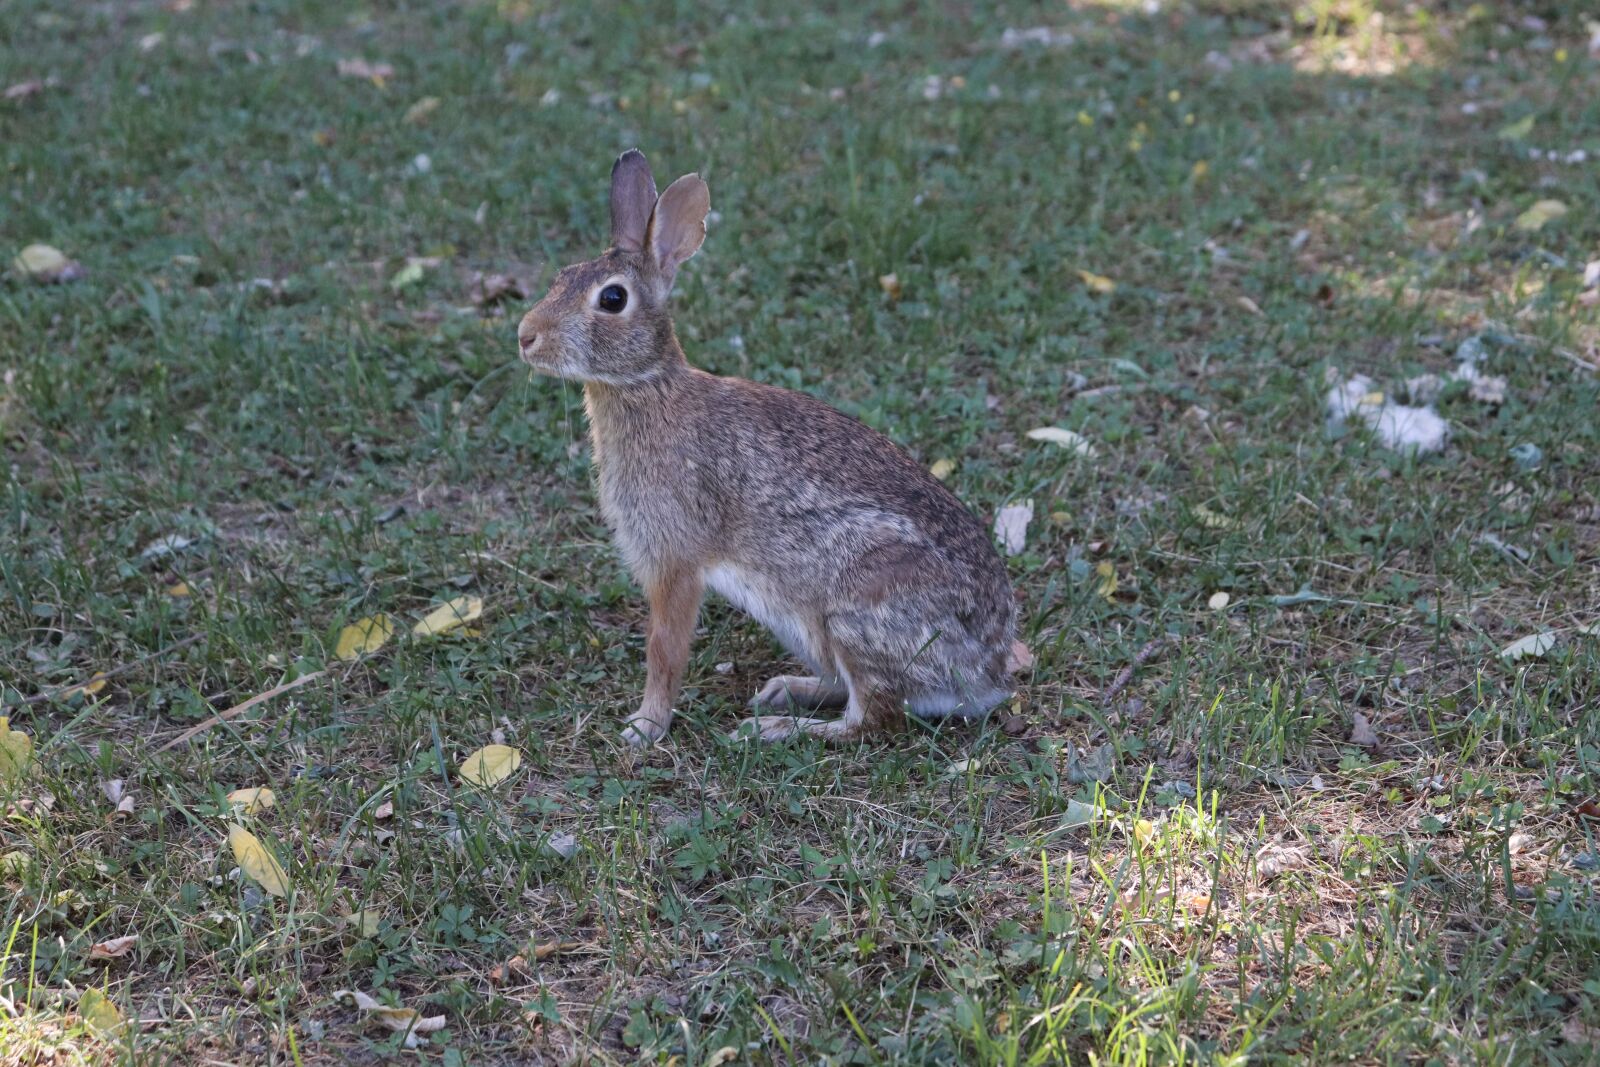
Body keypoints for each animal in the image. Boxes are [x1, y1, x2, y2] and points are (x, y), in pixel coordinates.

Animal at [517, 149, 1023, 745]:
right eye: (562, 276)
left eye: (612, 298)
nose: (525, 336)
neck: (646, 386)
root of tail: (986, 674)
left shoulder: (676, 560)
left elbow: (664, 651)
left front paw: (644, 728)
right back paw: (784, 692)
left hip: (855, 613)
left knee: (873, 719)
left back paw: (776, 728)